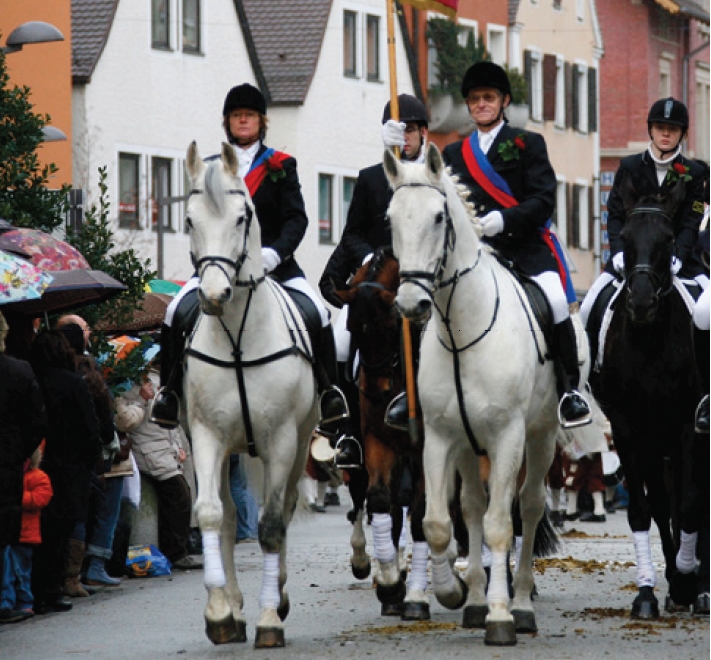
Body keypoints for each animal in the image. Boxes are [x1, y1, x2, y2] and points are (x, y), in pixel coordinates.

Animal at [184, 142, 318, 648]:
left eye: (244, 217)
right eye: (188, 219)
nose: (214, 294)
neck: (238, 335)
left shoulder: (281, 439)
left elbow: (271, 525)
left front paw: (269, 618)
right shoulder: (205, 433)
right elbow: (210, 515)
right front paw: (221, 613)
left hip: (298, 444)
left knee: (284, 506)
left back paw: (276, 596)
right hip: (230, 449)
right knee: (225, 515)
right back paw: (235, 604)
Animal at [384, 144, 580, 644]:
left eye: (438, 217)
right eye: (391, 217)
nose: (411, 304)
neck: (461, 326)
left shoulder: (507, 435)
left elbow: (499, 525)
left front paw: (501, 615)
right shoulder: (439, 435)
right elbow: (438, 523)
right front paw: (453, 592)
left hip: (540, 436)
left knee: (527, 507)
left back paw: (522, 603)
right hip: (469, 447)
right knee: (471, 507)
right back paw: (473, 599)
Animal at [588, 175, 708, 620]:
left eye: (668, 239)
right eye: (623, 237)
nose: (640, 302)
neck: (650, 341)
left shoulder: (688, 425)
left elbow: (690, 504)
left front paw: (690, 581)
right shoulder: (629, 428)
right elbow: (645, 509)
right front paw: (649, 592)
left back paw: (695, 585)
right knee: (660, 502)